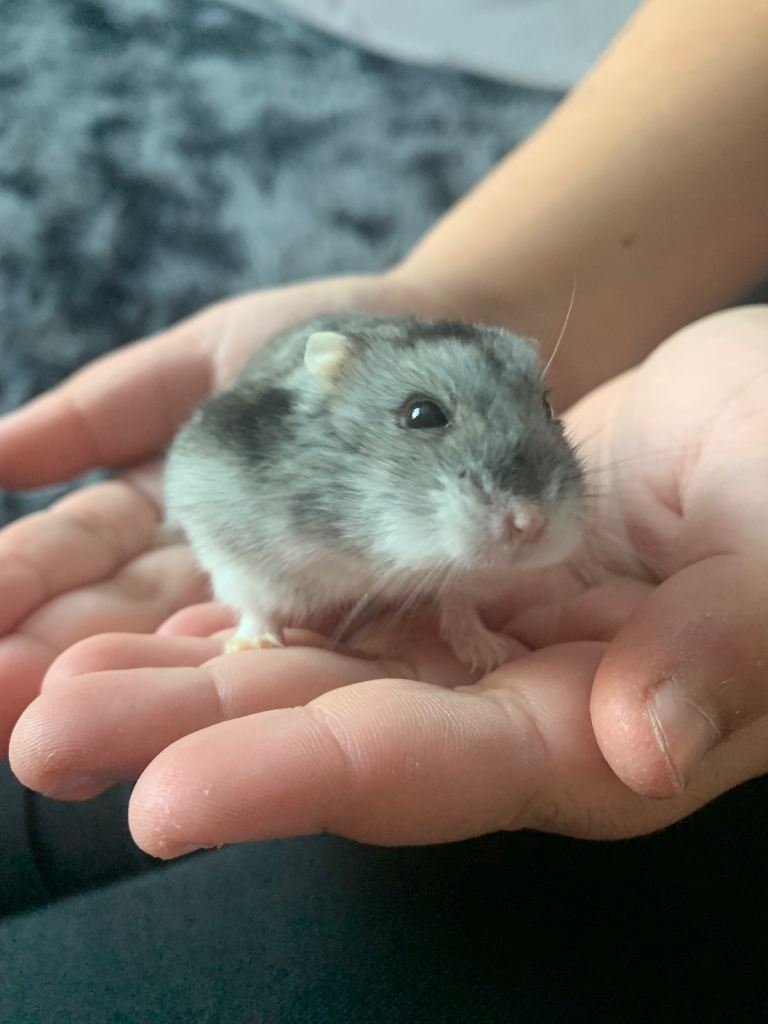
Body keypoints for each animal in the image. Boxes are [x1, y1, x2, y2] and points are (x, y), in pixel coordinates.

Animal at [165, 314, 585, 673]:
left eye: (547, 406)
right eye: (421, 414)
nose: (532, 523)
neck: (373, 548)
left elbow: (459, 604)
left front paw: (488, 653)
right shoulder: (234, 554)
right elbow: (256, 607)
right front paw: (254, 647)